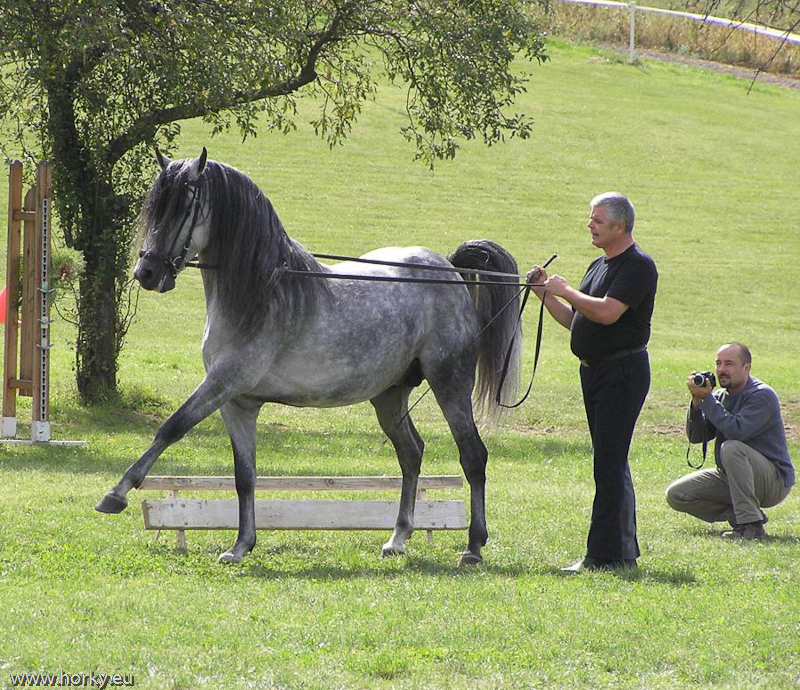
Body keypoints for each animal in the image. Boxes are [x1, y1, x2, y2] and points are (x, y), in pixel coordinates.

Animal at [96, 148, 522, 566]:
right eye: (156, 207)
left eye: (184, 206)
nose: (146, 272)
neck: (261, 293)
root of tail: (449, 270)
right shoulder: (237, 403)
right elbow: (244, 475)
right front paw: (240, 545)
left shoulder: (222, 384)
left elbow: (171, 428)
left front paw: (116, 494)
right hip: (389, 396)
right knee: (411, 454)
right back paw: (397, 539)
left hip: (449, 384)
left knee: (472, 456)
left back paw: (473, 546)